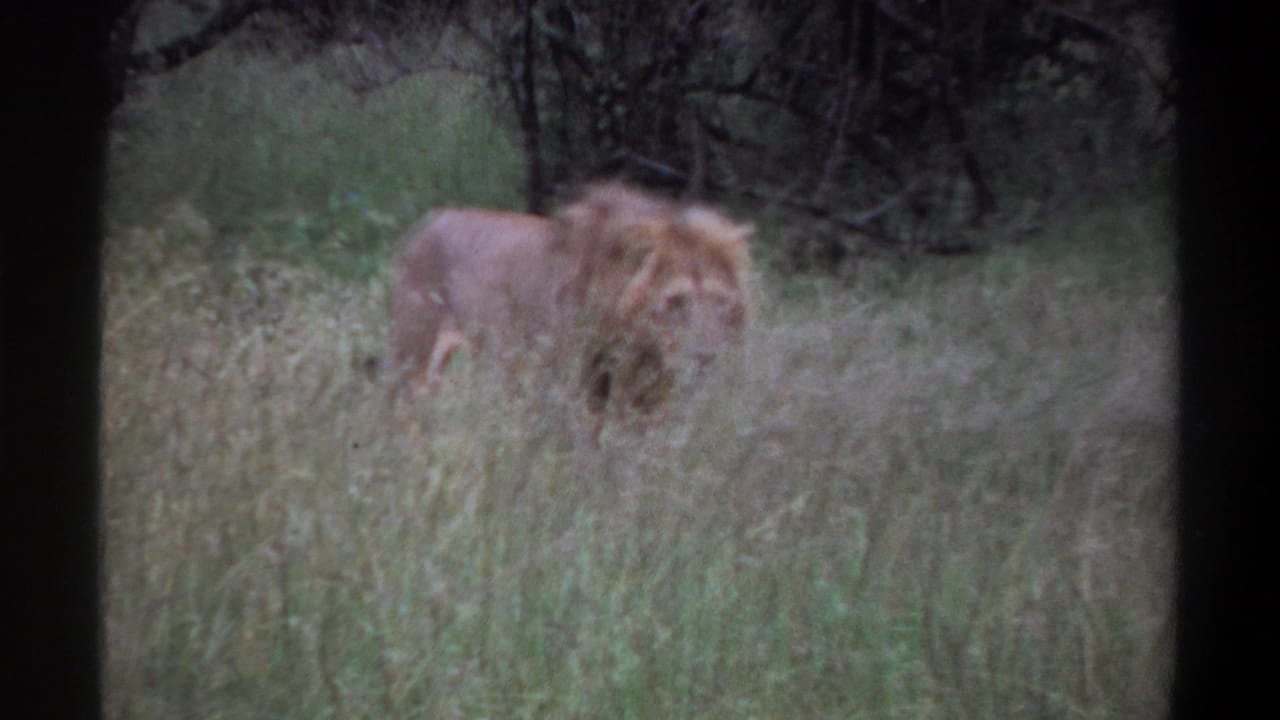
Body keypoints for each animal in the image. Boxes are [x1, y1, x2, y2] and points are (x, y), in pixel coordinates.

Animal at [388, 182, 754, 420]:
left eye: (721, 302)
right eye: (676, 301)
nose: (706, 357)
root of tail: (429, 221)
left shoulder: (642, 401)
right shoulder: (569, 392)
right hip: (414, 361)